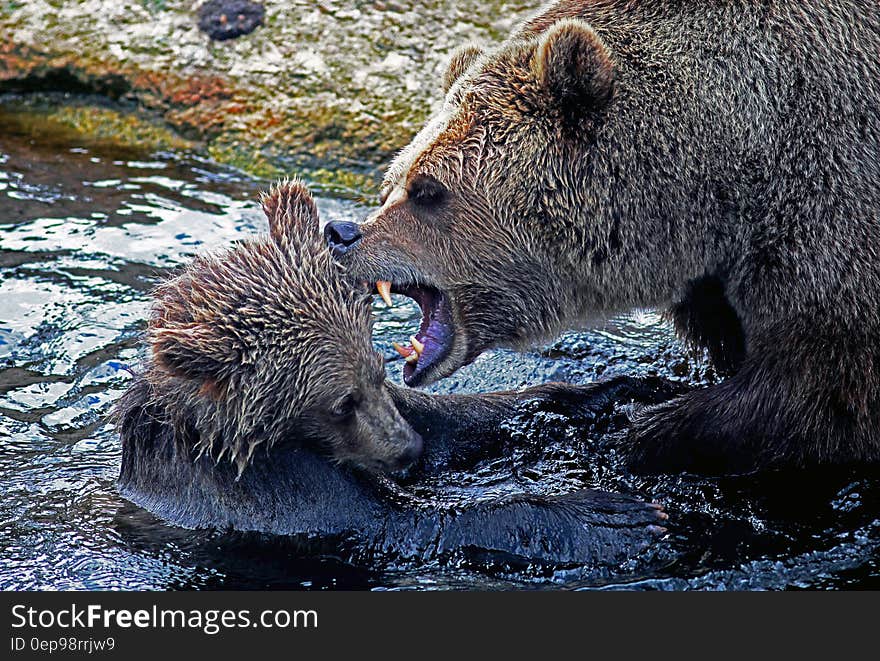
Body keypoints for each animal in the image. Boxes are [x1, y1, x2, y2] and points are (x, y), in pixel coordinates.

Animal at [328, 1, 880, 474]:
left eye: (427, 190)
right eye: (393, 182)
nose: (341, 232)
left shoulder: (824, 201)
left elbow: (818, 388)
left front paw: (646, 425)